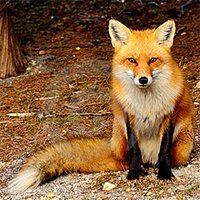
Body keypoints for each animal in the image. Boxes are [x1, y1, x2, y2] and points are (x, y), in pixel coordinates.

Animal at [7, 19, 195, 193]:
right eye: (132, 60)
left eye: (153, 60)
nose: (143, 79)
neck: (145, 101)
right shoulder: (129, 115)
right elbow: (134, 149)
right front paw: (134, 173)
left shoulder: (169, 115)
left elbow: (164, 149)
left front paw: (164, 173)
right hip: (121, 137)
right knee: (126, 160)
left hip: (182, 148)